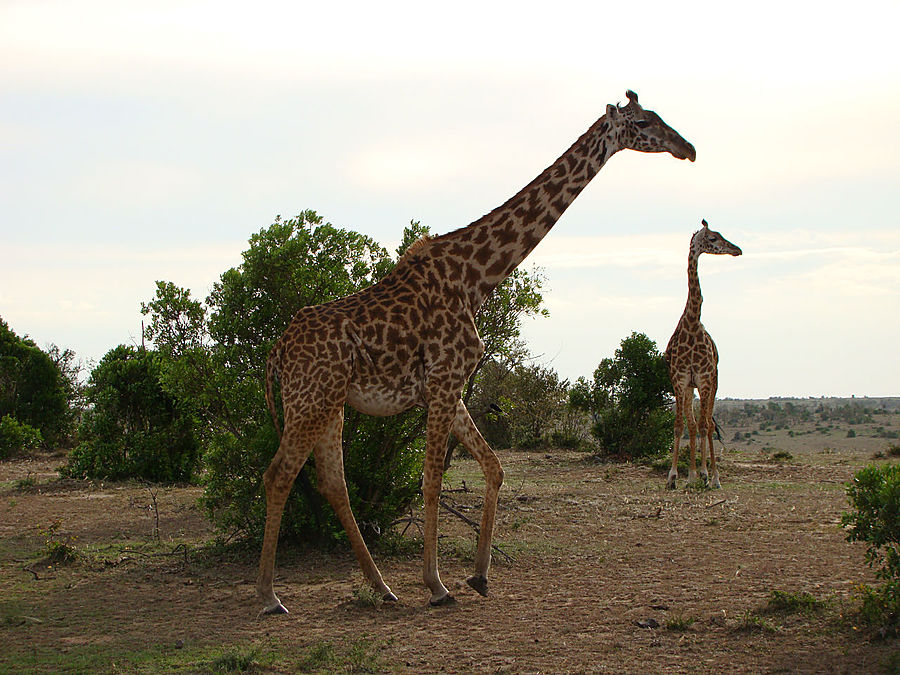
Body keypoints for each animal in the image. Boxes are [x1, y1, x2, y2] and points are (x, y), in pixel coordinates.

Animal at [258, 90, 696, 612]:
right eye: (645, 121)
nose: (688, 148)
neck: (475, 277)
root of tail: (277, 351)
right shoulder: (446, 379)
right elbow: (431, 480)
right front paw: (437, 584)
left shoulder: (446, 386)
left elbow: (494, 466)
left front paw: (480, 575)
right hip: (311, 400)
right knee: (280, 474)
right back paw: (269, 595)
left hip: (330, 402)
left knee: (331, 481)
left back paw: (382, 588)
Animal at [664, 222, 740, 492]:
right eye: (714, 238)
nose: (737, 249)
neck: (692, 324)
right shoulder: (680, 381)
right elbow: (680, 426)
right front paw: (675, 476)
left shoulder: (706, 380)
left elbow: (706, 426)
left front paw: (709, 475)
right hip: (691, 389)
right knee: (695, 423)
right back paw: (695, 475)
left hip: (714, 384)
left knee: (708, 424)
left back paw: (711, 476)